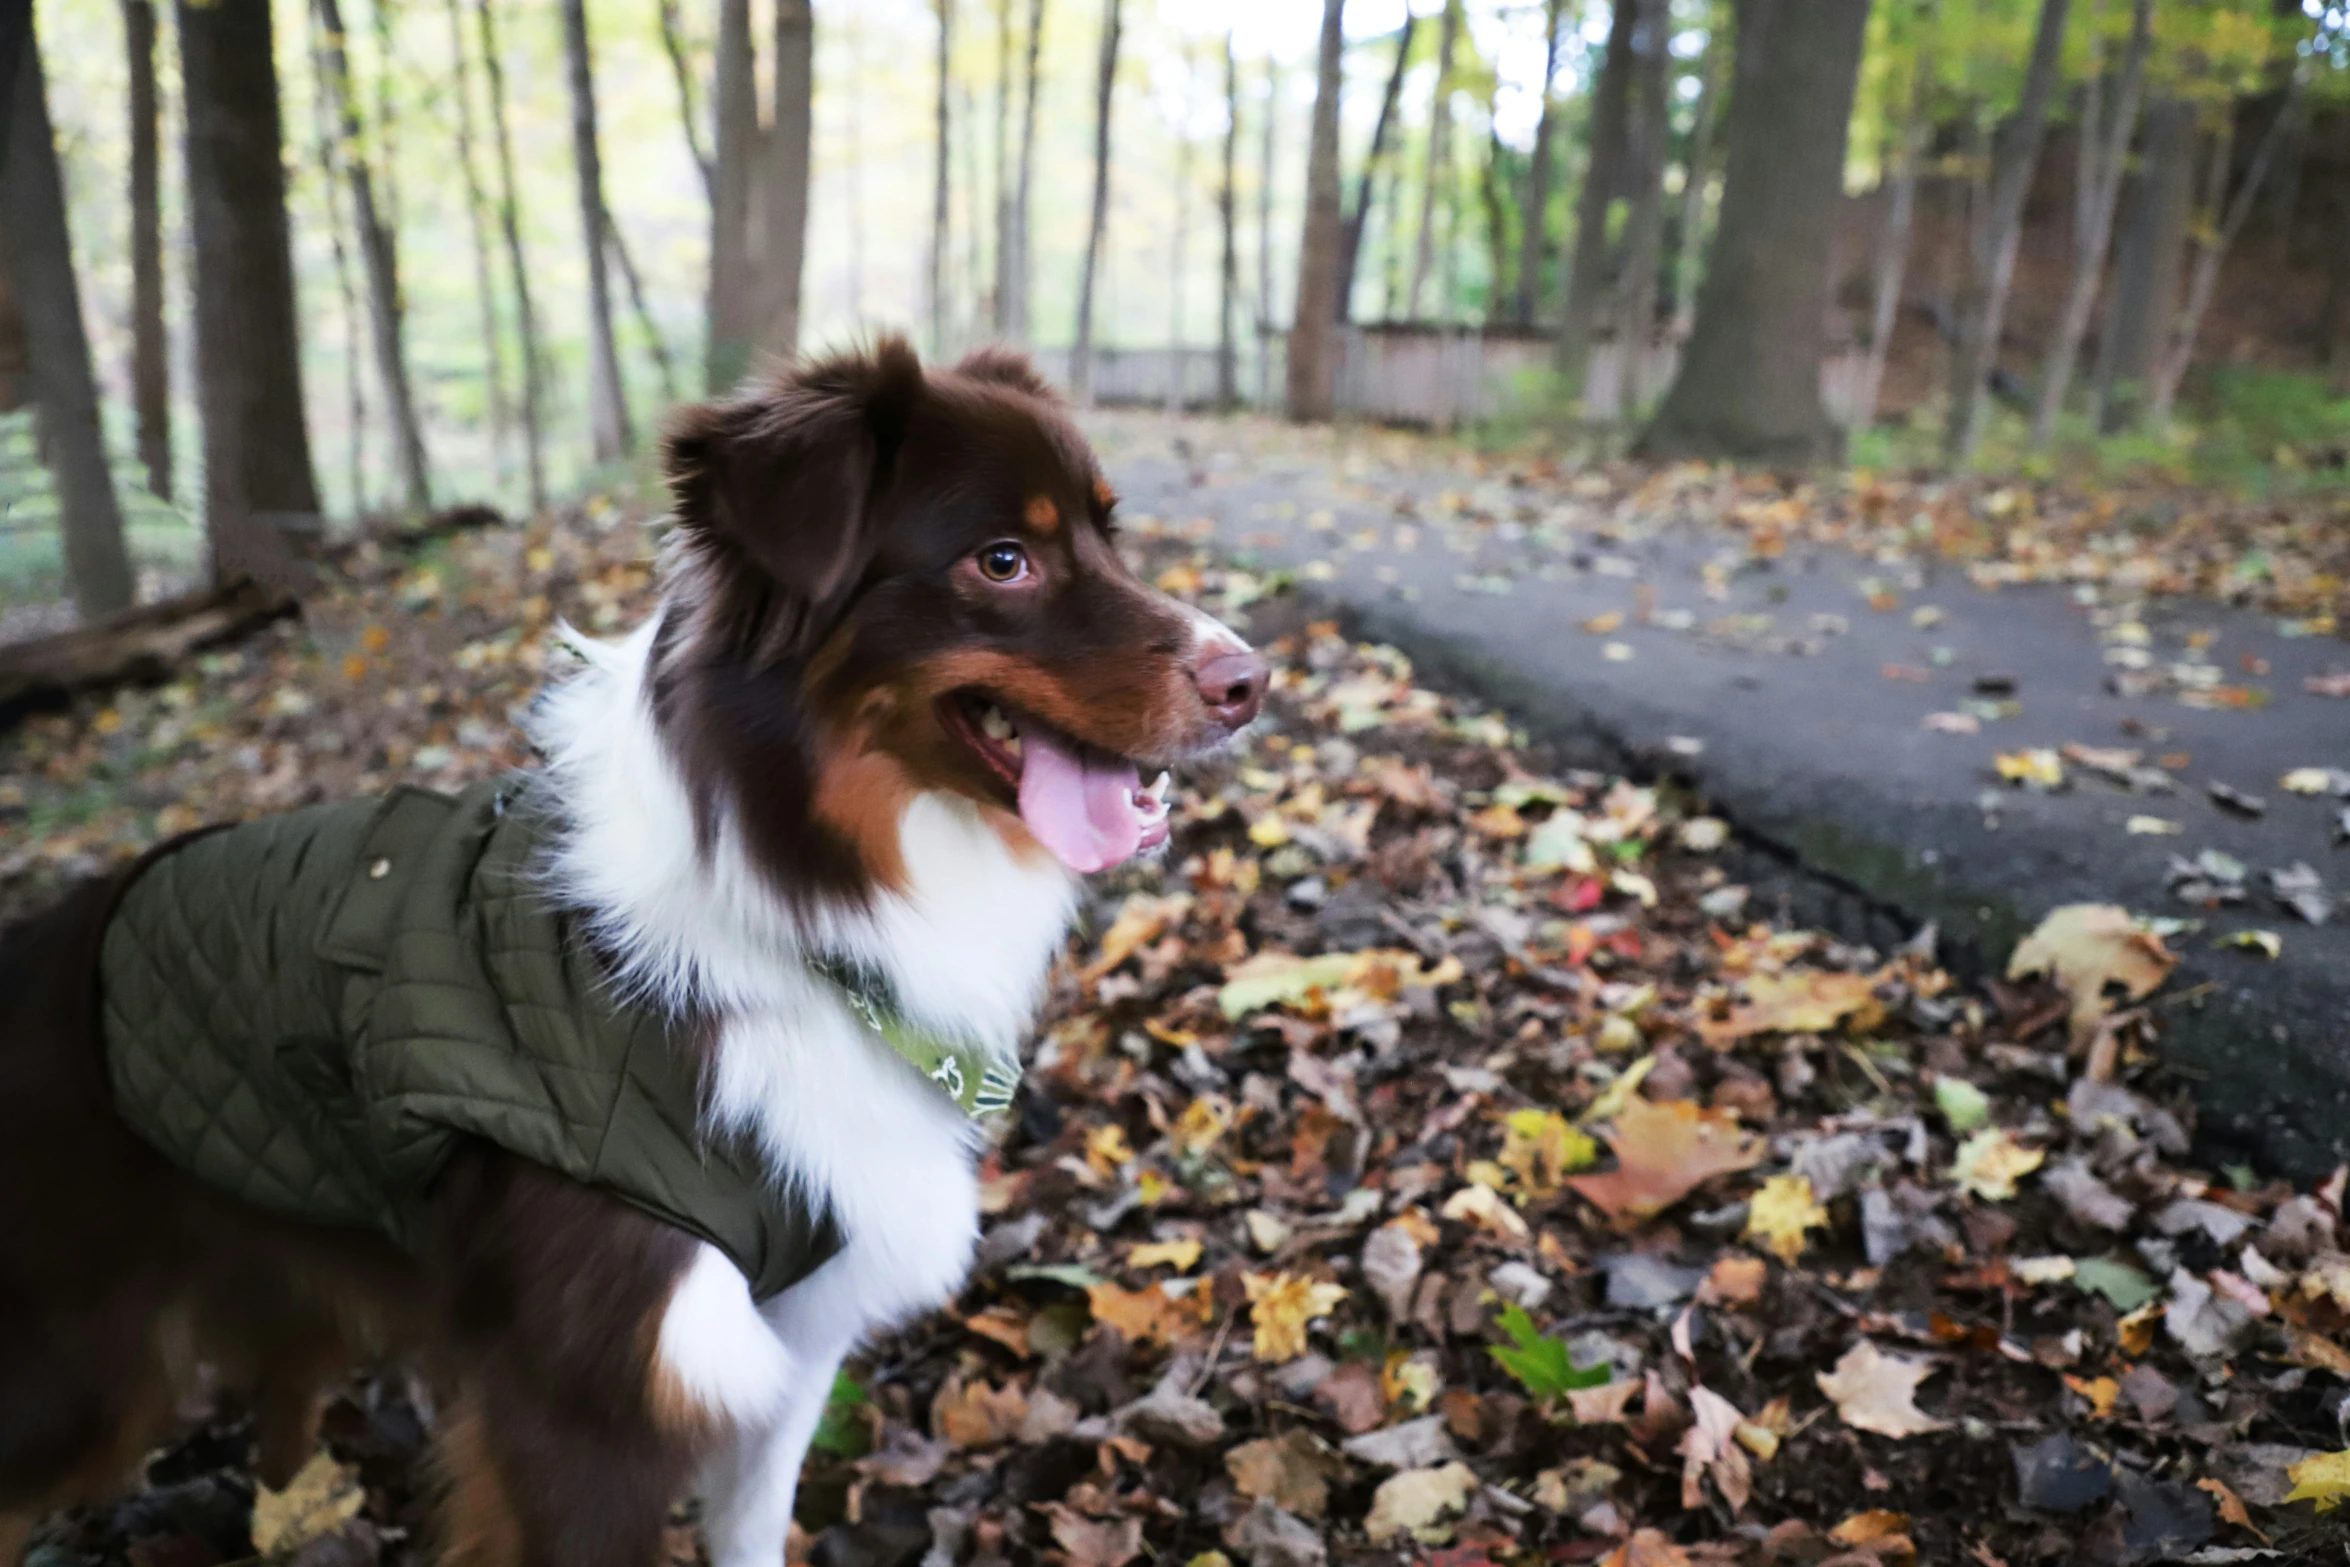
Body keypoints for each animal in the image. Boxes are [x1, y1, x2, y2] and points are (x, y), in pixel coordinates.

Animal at [0, 343, 1269, 1567]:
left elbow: (750, 1527)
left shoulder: (791, 1323)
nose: (1252, 680)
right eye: (1002, 561)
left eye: (1110, 532)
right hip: (81, 1376)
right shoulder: (589, 1398)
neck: (789, 896)